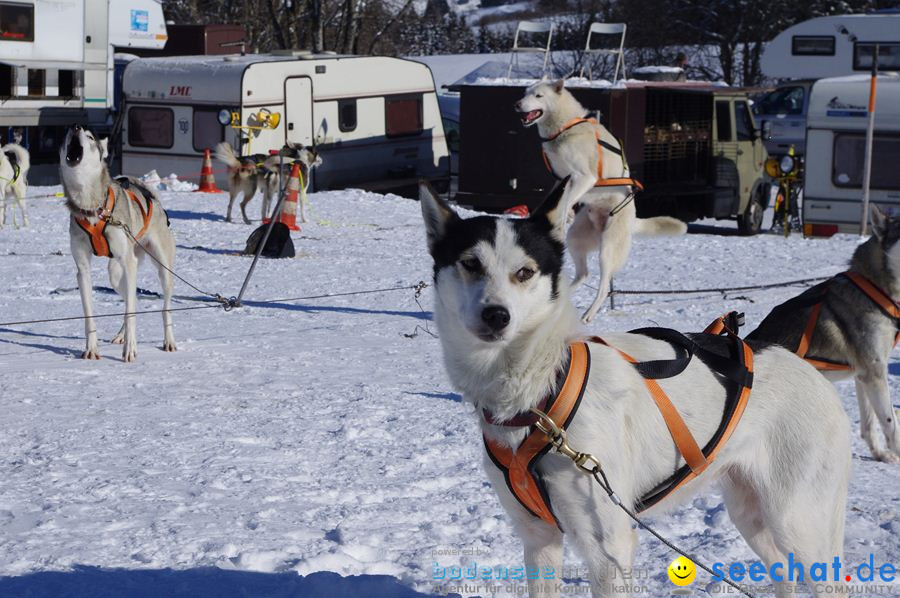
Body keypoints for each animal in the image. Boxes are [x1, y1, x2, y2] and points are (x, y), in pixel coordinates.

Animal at [60, 124, 178, 364]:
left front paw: (130, 349)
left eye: (90, 137)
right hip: (116, 274)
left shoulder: (128, 262)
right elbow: (89, 314)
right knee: (131, 298)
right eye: (67, 134)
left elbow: (130, 312)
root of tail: (151, 196)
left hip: (160, 268)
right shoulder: (83, 269)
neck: (92, 209)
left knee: (163, 307)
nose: (75, 126)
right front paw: (91, 348)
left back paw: (168, 341)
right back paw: (121, 335)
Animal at [418, 179, 848, 598]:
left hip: (799, 524)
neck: (542, 396)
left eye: (524, 272)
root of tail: (806, 368)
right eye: (471, 264)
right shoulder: (539, 538)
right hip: (752, 514)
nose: (496, 315)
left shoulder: (607, 547)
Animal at [516, 80, 684, 326]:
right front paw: (561, 215)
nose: (517, 104)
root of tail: (633, 220)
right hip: (576, 239)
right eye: (525, 92)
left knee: (604, 286)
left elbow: (568, 198)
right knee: (583, 274)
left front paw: (563, 215)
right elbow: (558, 198)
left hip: (608, 250)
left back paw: (589, 313)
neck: (564, 128)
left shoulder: (584, 178)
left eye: (538, 95)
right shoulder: (560, 179)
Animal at [744, 206, 900, 464]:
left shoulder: (864, 375)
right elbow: (890, 422)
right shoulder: (876, 372)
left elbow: (869, 425)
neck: (876, 288)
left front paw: (879, 454)